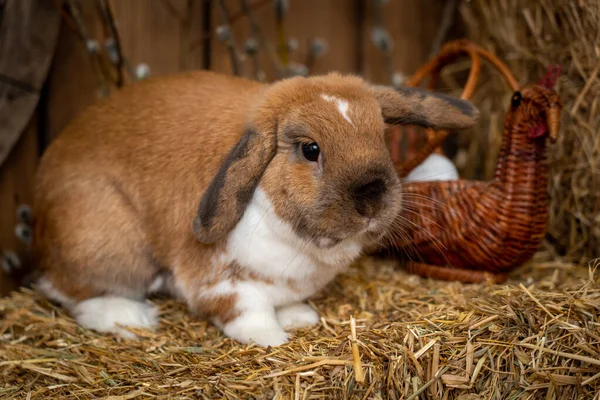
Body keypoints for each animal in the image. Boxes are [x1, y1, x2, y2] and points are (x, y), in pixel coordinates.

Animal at [31, 69, 478, 346]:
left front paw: (300, 317)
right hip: (109, 249)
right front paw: (272, 338)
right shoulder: (224, 282)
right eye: (310, 149)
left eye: (380, 137)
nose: (372, 199)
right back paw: (129, 317)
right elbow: (246, 311)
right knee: (69, 292)